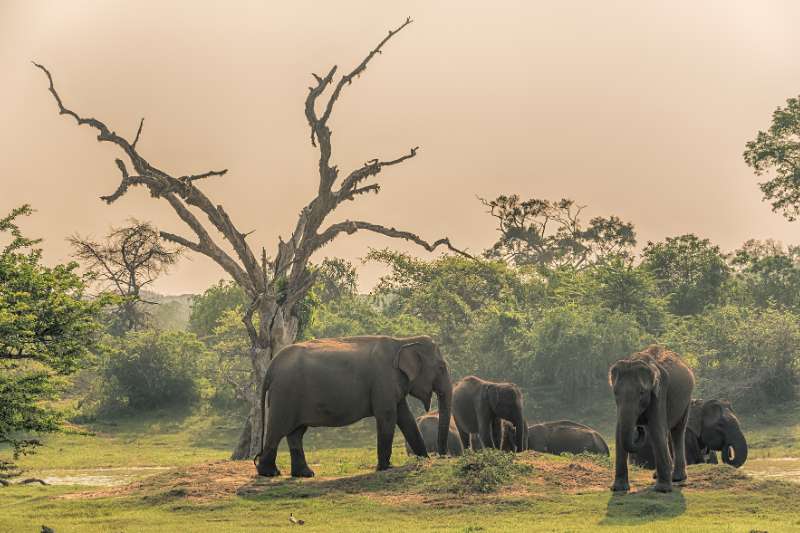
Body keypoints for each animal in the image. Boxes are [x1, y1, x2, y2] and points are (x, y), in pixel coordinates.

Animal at [254, 335, 453, 477]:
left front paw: (424, 460)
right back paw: (270, 473)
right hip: (284, 394)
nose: (443, 456)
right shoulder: (383, 380)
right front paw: (385, 468)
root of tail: (272, 366)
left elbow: (406, 417)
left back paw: (305, 474)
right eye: (442, 367)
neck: (404, 341)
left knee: (296, 433)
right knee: (278, 430)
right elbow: (388, 416)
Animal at [608, 345, 695, 493]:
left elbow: (656, 428)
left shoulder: (660, 391)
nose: (639, 428)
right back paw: (659, 474)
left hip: (686, 400)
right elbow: (619, 430)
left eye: (642, 392)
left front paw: (662, 490)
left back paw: (677, 478)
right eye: (615, 392)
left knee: (677, 431)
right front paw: (618, 488)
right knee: (662, 433)